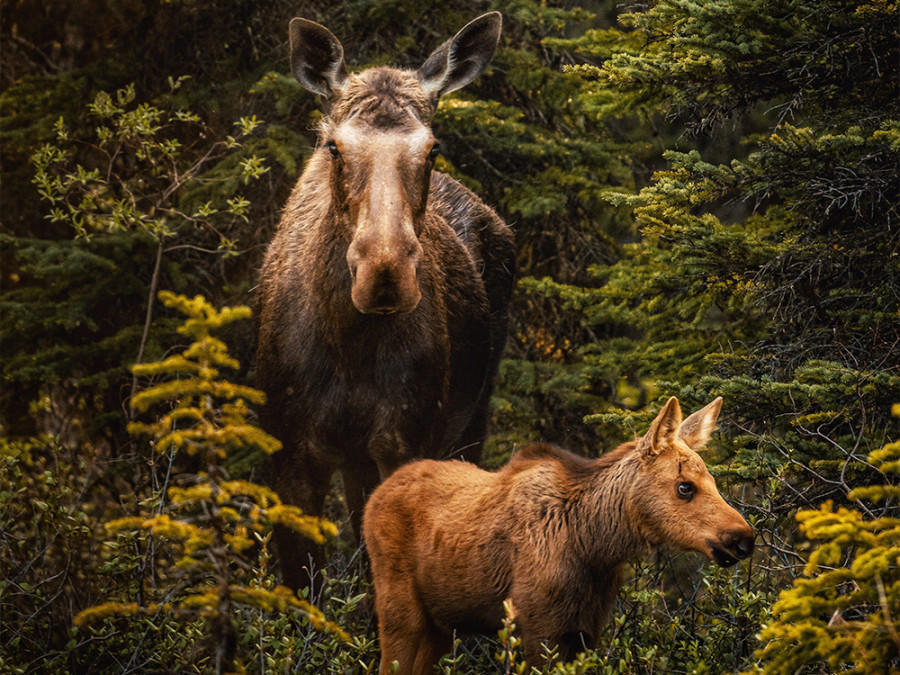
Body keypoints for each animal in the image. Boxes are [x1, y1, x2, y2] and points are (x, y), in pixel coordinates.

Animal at [256, 11, 516, 592]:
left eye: (432, 147)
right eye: (334, 146)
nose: (385, 272)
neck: (348, 344)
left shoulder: (404, 443)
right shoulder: (290, 458)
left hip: (472, 420)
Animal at [362, 398, 756, 672]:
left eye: (714, 480)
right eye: (685, 487)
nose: (744, 539)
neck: (594, 546)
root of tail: (375, 494)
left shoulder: (584, 632)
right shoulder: (537, 628)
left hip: (441, 625)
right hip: (400, 612)